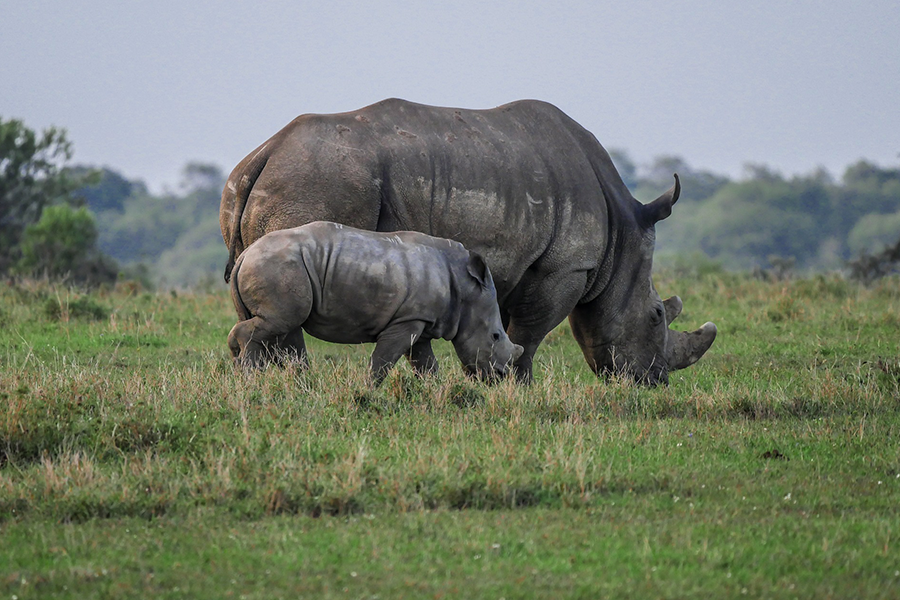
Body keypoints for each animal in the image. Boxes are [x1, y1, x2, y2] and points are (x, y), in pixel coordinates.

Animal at [225, 220, 524, 384]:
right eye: (495, 336)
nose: (500, 377)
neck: (465, 288)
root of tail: (245, 254)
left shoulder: (420, 320)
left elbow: (426, 365)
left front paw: (437, 393)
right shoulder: (407, 320)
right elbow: (383, 360)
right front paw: (367, 391)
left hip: (273, 265)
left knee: (277, 327)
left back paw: (250, 375)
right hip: (278, 266)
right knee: (281, 322)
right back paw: (252, 378)